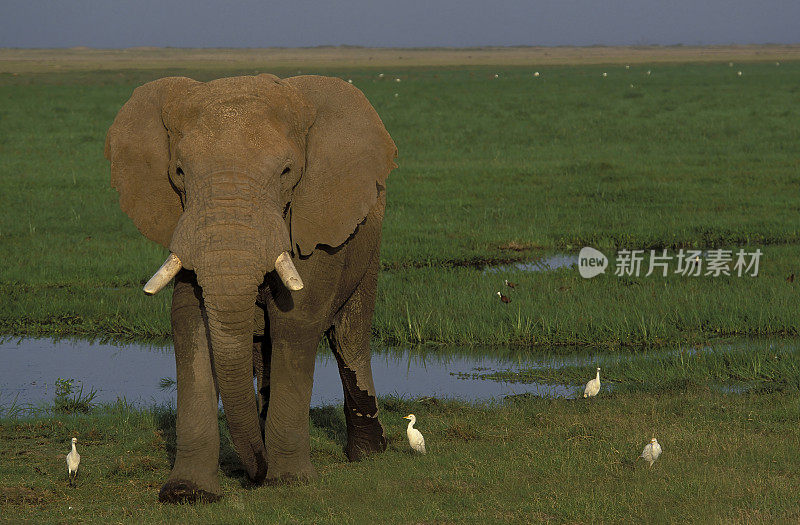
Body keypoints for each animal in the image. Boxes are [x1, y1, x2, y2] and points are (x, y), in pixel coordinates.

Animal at [103, 71, 396, 502]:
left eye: (287, 172)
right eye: (180, 172)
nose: (255, 473)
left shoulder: (313, 220)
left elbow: (297, 321)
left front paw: (288, 481)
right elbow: (190, 322)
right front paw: (187, 493)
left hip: (366, 245)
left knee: (349, 338)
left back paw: (368, 455)